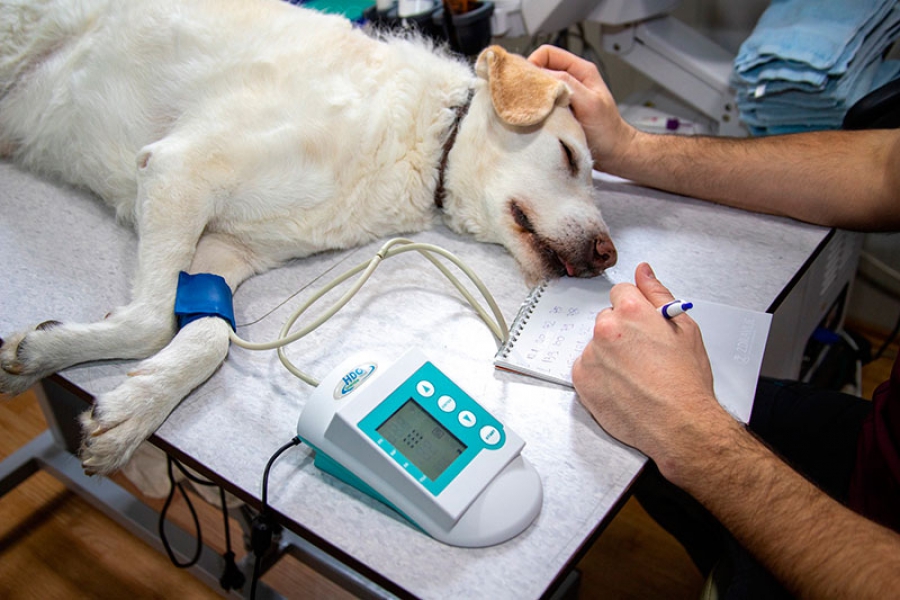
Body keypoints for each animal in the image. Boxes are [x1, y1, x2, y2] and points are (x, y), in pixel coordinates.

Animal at [0, 0, 616, 476]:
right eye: (569, 156)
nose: (609, 256)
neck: (423, 138)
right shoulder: (179, 170)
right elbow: (152, 322)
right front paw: (55, 356)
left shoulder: (225, 251)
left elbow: (209, 336)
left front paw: (128, 404)